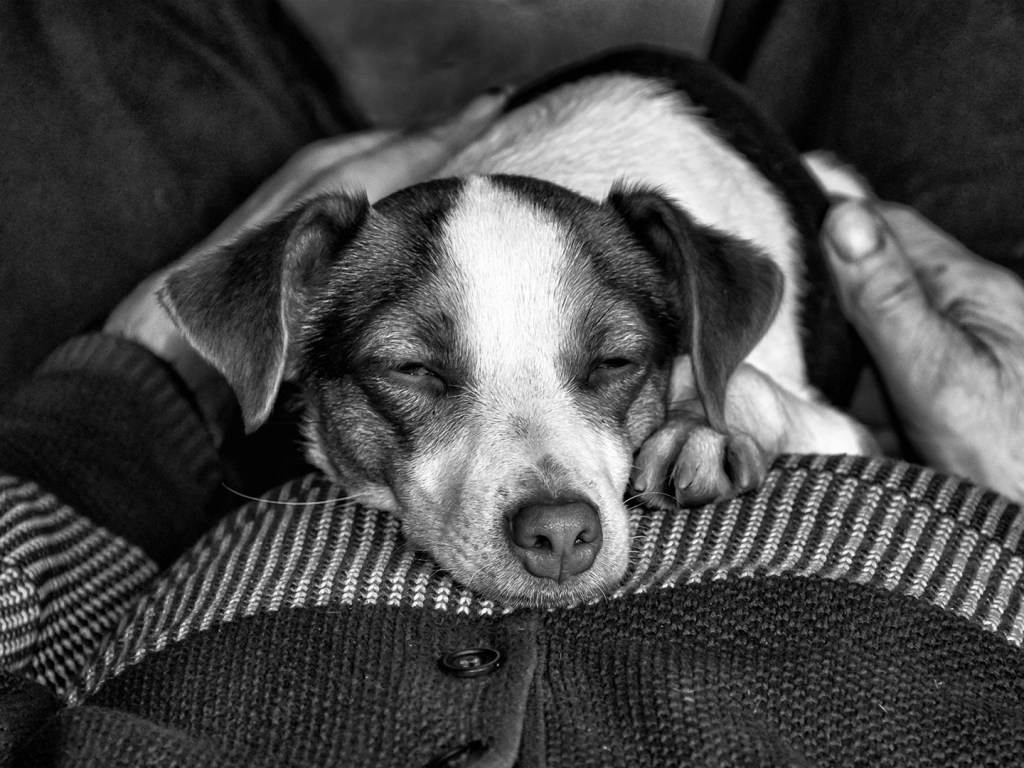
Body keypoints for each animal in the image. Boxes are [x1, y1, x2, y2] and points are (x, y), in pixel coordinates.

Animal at [162, 50, 873, 607]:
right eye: (412, 369)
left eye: (615, 363)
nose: (558, 534)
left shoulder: (850, 427)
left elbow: (745, 381)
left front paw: (702, 427)